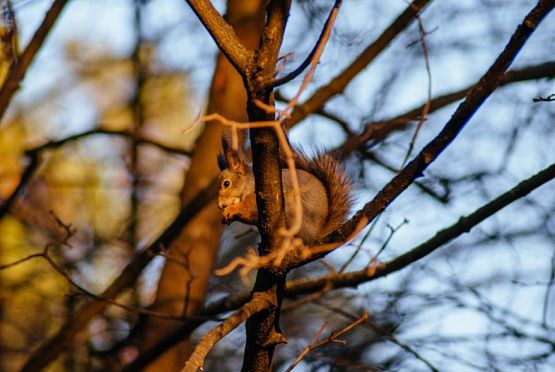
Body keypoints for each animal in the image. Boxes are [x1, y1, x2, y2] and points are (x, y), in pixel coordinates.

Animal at [217, 140, 352, 244]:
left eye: (226, 183)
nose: (220, 205)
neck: (248, 185)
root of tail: (317, 234)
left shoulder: (256, 197)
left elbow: (247, 207)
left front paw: (231, 210)